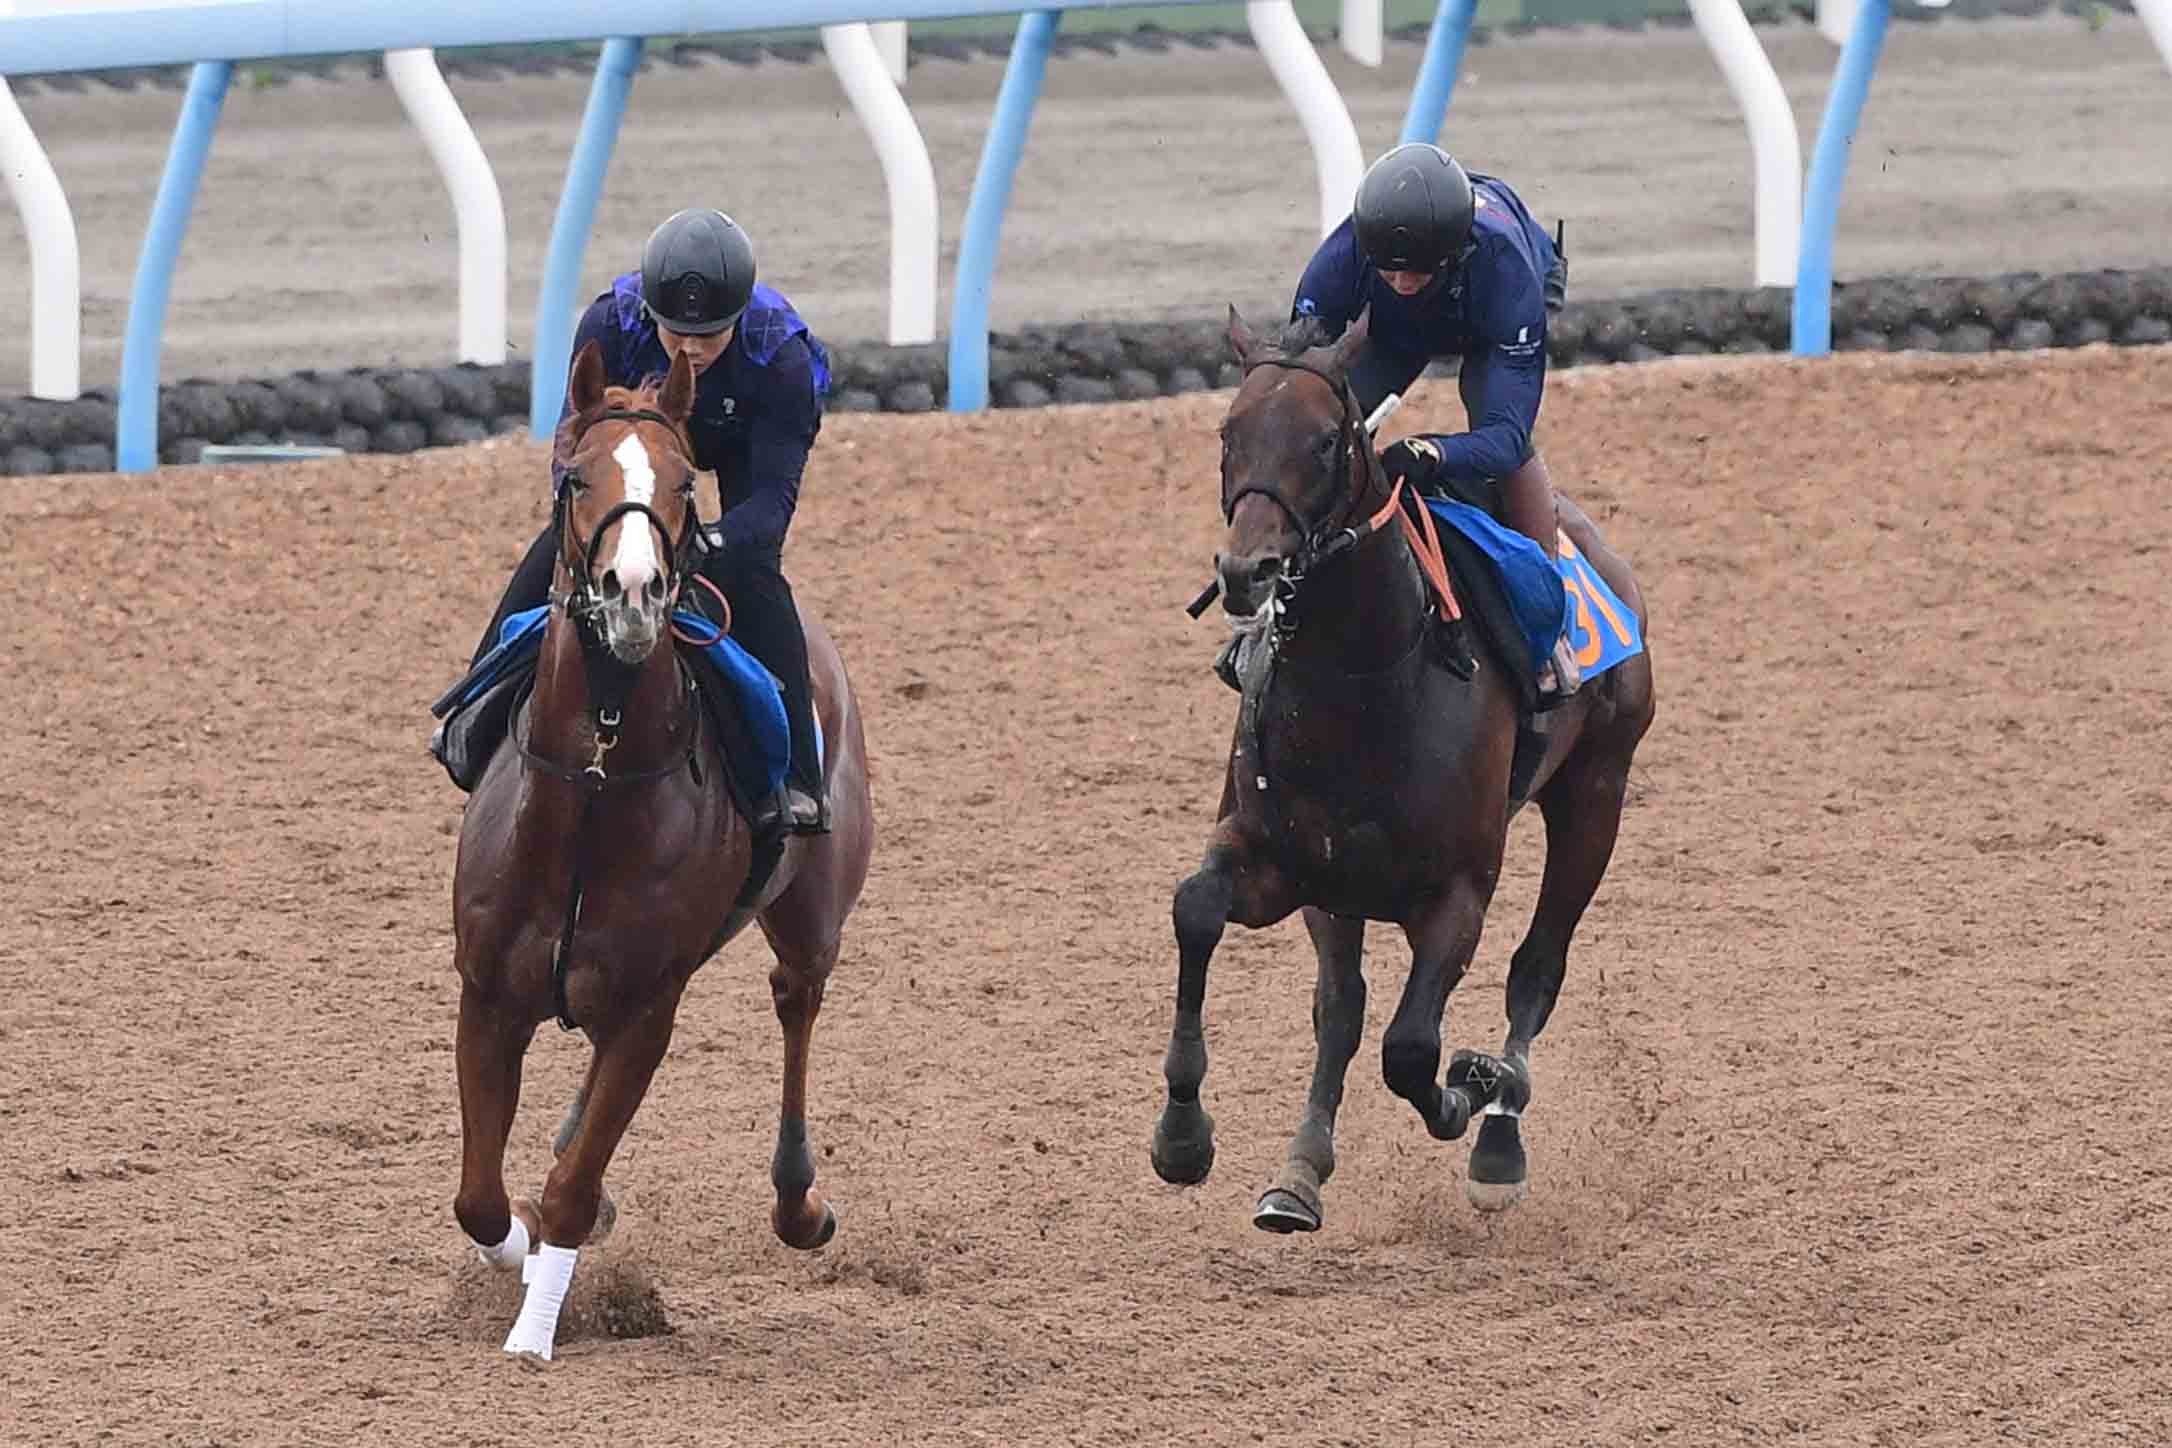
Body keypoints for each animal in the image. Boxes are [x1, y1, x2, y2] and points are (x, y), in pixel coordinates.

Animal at [448, 341, 873, 1358]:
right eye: (575, 475)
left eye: (683, 483)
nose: (633, 593)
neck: (594, 791)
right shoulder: (486, 994)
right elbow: (482, 1199)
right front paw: (520, 1255)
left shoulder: (648, 1013)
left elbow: (570, 1192)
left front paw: (535, 1333)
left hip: (813, 911)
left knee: (796, 998)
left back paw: (799, 1204)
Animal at [1149, 307, 1656, 1233]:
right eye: (1229, 433)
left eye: (1324, 442)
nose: (1247, 572)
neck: (1363, 679)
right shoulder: (1284, 863)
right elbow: (1199, 910)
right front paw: (1183, 1136)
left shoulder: (1457, 893)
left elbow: (1414, 1048)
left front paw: (1473, 1087)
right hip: (1339, 888)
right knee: (1341, 1006)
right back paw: (1299, 1172)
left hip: (1597, 793)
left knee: (1538, 968)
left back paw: (1499, 1136)